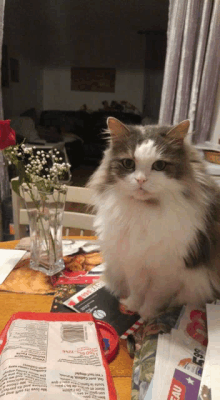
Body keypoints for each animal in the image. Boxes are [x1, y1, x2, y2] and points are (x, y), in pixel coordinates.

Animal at [87, 117, 220, 320]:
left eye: (159, 166)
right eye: (128, 163)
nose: (141, 180)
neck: (145, 212)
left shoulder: (167, 269)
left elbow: (153, 296)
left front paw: (147, 316)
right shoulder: (133, 260)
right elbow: (137, 290)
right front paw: (132, 306)